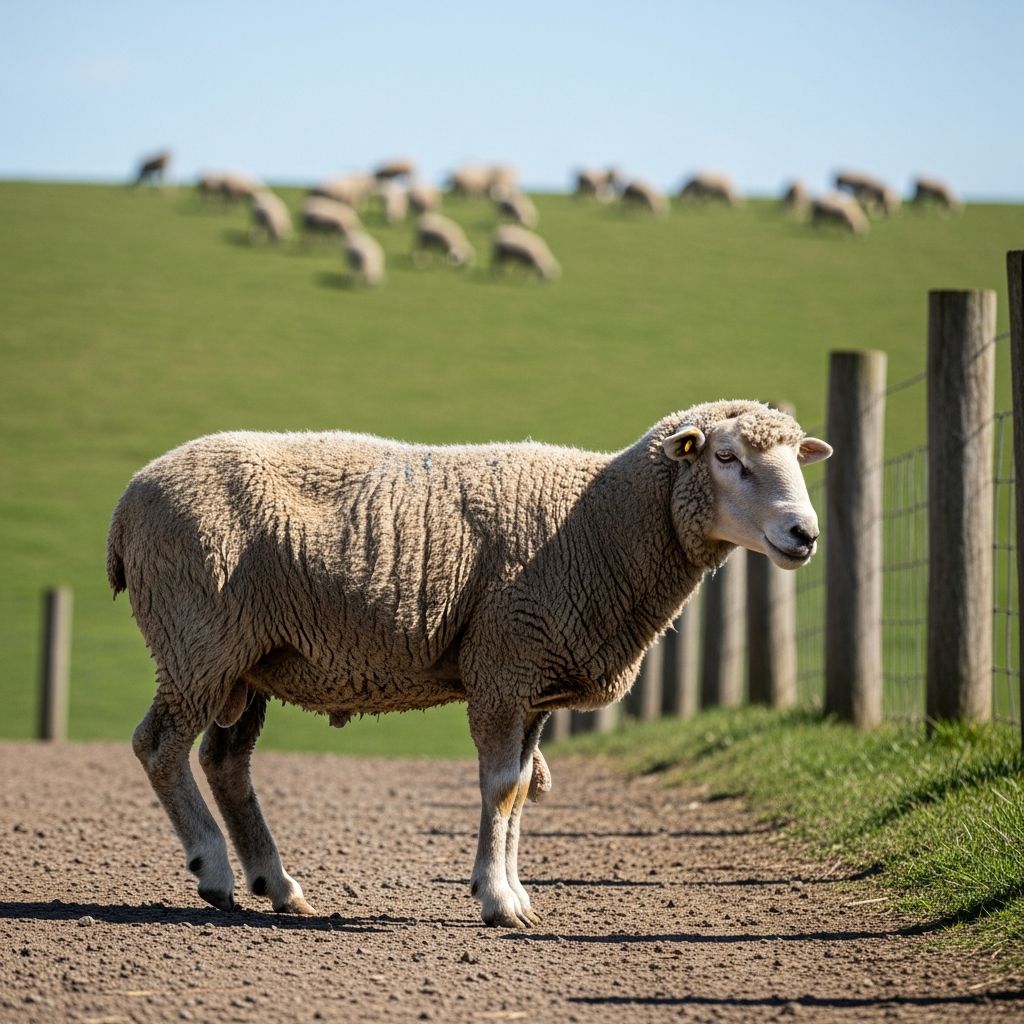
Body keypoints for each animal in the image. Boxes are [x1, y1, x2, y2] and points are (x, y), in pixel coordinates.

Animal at [107, 401, 830, 926]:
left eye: (797, 459)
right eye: (727, 457)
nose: (805, 534)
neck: (602, 522)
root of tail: (128, 498)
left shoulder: (533, 683)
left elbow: (521, 791)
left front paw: (513, 893)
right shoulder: (504, 666)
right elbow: (502, 788)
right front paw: (500, 901)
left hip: (244, 660)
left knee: (225, 762)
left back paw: (278, 885)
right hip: (197, 639)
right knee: (159, 746)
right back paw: (214, 869)